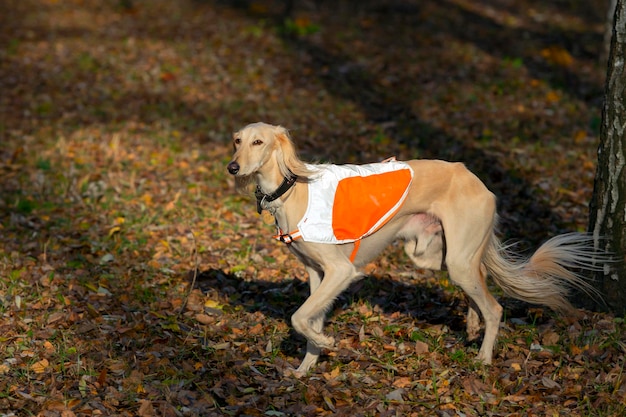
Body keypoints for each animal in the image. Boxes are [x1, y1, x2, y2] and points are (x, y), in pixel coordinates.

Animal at [228, 121, 600, 376]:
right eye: (237, 140)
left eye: (258, 141)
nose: (232, 167)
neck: (292, 190)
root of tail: (477, 181)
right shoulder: (317, 275)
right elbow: (309, 320)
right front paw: (307, 366)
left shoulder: (340, 272)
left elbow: (299, 316)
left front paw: (327, 344)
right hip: (440, 256)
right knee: (480, 283)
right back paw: (472, 326)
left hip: (456, 261)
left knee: (494, 307)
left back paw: (484, 357)